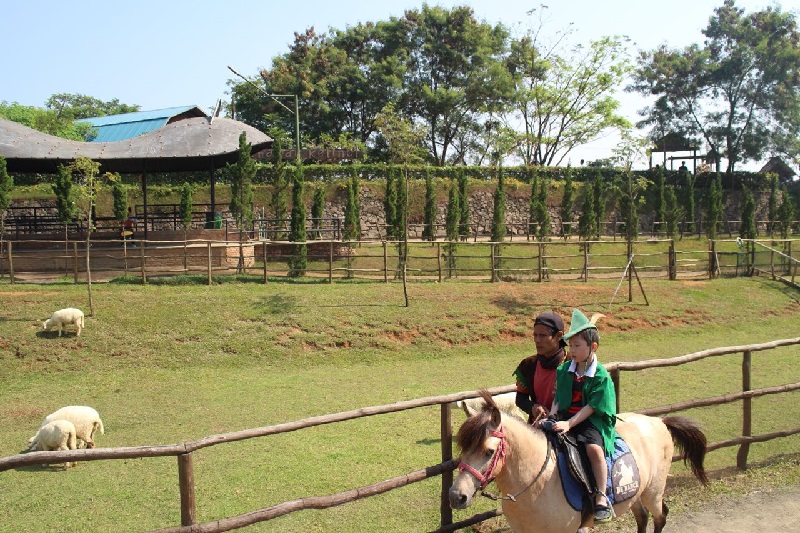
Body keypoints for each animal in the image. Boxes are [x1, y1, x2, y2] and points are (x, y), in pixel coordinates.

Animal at [446, 388, 708, 528]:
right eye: (462, 449)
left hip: (654, 490)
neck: (536, 482)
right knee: (642, 517)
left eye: (489, 451)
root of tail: (659, 421)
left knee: (660, 516)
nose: (456, 496)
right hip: (636, 492)